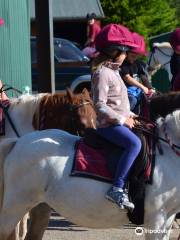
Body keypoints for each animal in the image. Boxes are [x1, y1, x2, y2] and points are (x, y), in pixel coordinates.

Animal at [0, 109, 180, 239]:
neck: (168, 153)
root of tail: (18, 142)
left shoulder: (168, 218)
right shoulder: (155, 218)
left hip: (40, 207)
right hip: (14, 207)